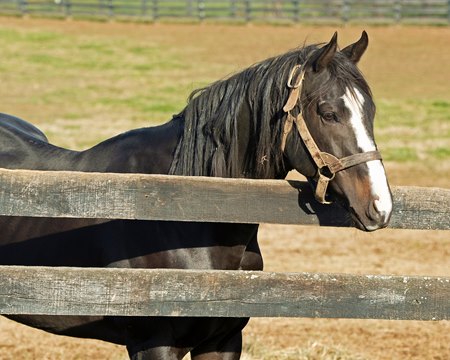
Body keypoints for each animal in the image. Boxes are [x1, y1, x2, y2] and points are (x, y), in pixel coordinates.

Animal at [0, 32, 390, 358]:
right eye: (329, 113)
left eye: (370, 111)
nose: (380, 206)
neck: (182, 214)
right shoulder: (153, 345)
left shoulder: (223, 342)